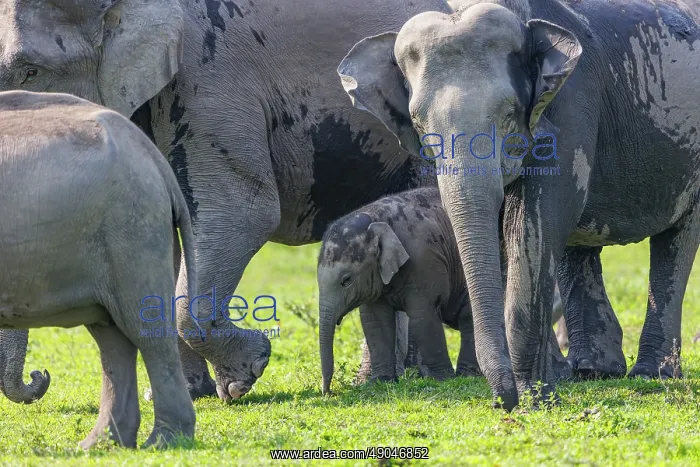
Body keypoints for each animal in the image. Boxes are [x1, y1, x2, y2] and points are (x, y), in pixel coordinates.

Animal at [0, 0, 457, 401]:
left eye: (30, 70)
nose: (41, 377)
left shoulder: (209, 80)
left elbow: (244, 212)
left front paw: (245, 375)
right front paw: (190, 392)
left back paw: (399, 377)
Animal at [0, 90, 202, 448]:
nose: (40, 374)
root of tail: (155, 159)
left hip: (133, 228)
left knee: (147, 332)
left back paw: (162, 443)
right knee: (112, 337)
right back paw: (100, 445)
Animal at [319, 187, 572, 393]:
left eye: (346, 280)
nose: (327, 392)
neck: (376, 217)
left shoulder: (424, 260)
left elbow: (423, 315)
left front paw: (441, 379)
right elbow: (375, 321)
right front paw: (379, 382)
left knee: (469, 319)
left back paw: (467, 375)